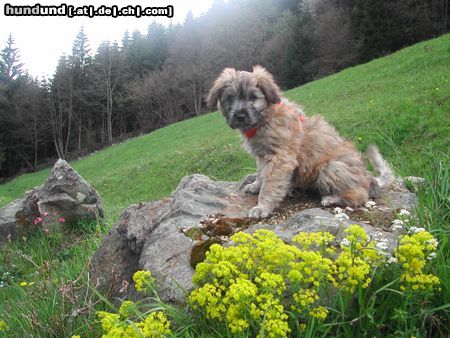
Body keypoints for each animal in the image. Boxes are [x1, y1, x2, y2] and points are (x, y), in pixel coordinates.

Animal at [207, 66, 394, 219]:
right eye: (230, 98)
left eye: (253, 97)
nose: (240, 116)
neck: (266, 117)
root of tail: (369, 179)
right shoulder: (263, 155)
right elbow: (261, 173)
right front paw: (255, 186)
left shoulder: (280, 158)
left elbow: (270, 184)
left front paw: (262, 207)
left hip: (332, 168)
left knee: (360, 196)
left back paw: (332, 198)